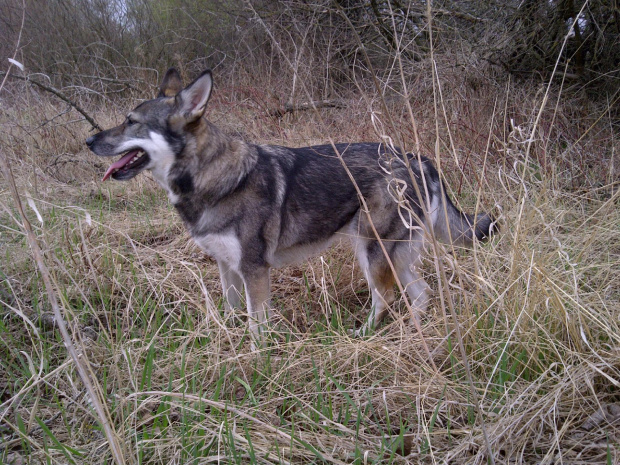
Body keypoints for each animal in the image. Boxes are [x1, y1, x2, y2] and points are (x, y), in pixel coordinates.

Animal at [86, 69, 494, 342]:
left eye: (131, 122)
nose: (89, 141)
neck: (212, 177)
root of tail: (416, 158)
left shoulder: (254, 270)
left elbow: (257, 325)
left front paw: (256, 360)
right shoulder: (227, 267)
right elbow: (233, 312)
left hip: (374, 253)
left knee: (387, 297)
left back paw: (363, 335)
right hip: (393, 255)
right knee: (421, 294)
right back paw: (415, 332)